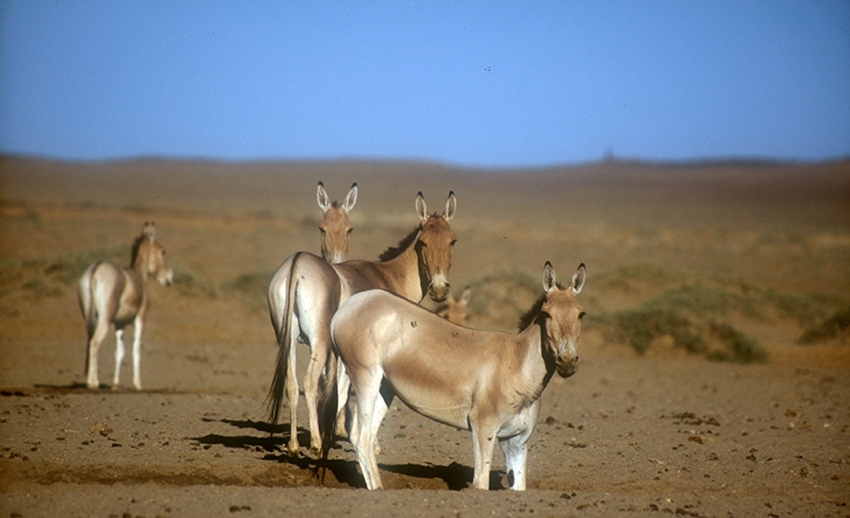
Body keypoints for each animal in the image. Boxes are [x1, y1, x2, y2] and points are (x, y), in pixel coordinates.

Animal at [77, 223, 173, 390]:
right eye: (163, 251)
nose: (170, 277)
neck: (138, 275)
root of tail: (96, 269)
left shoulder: (119, 324)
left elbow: (119, 352)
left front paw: (115, 383)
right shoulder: (140, 319)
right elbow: (136, 349)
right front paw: (138, 384)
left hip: (90, 318)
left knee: (90, 341)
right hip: (105, 319)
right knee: (95, 342)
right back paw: (93, 382)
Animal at [330, 264, 584, 492]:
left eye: (581, 314)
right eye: (546, 314)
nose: (568, 361)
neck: (517, 364)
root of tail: (348, 306)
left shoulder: (517, 441)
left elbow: (518, 486)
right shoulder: (483, 428)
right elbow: (480, 483)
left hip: (385, 389)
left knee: (368, 436)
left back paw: (378, 488)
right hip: (365, 378)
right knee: (360, 437)